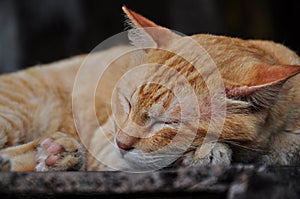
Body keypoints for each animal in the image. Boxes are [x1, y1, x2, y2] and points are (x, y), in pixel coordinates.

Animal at [0, 6, 300, 171]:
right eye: (128, 103)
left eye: (168, 123)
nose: (121, 143)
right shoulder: (104, 144)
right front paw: (209, 153)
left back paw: (53, 154)